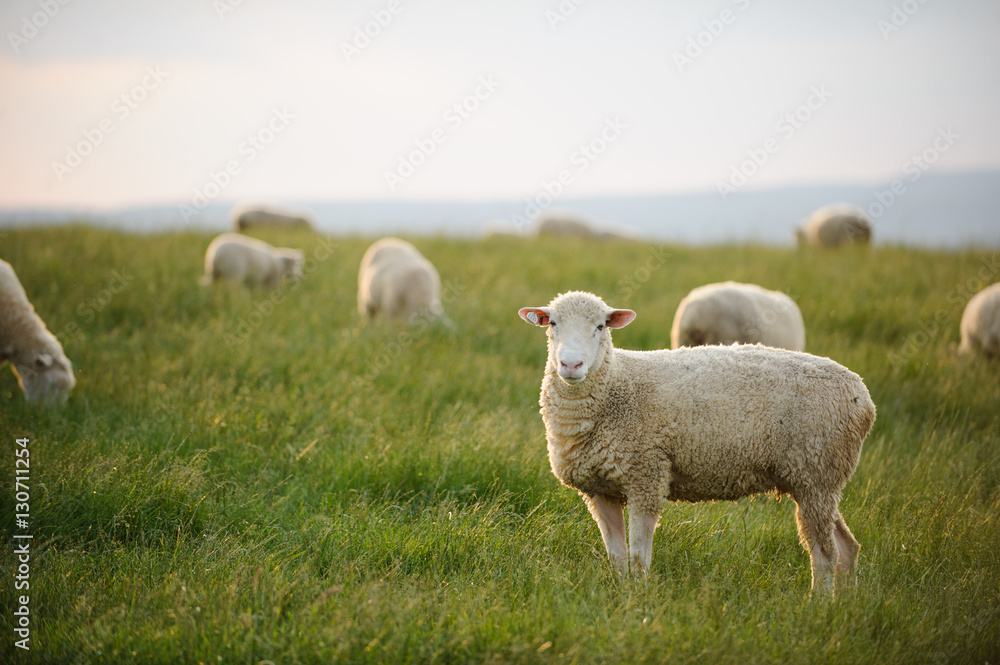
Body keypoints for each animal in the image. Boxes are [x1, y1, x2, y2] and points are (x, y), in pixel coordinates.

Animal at [518, 290, 875, 592]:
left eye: (600, 326)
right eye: (552, 323)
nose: (571, 364)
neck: (617, 388)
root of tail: (863, 395)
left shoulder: (646, 479)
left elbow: (638, 559)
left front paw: (639, 599)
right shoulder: (600, 490)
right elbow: (617, 559)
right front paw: (622, 594)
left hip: (817, 474)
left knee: (825, 554)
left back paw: (819, 604)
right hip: (818, 481)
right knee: (847, 547)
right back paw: (844, 605)